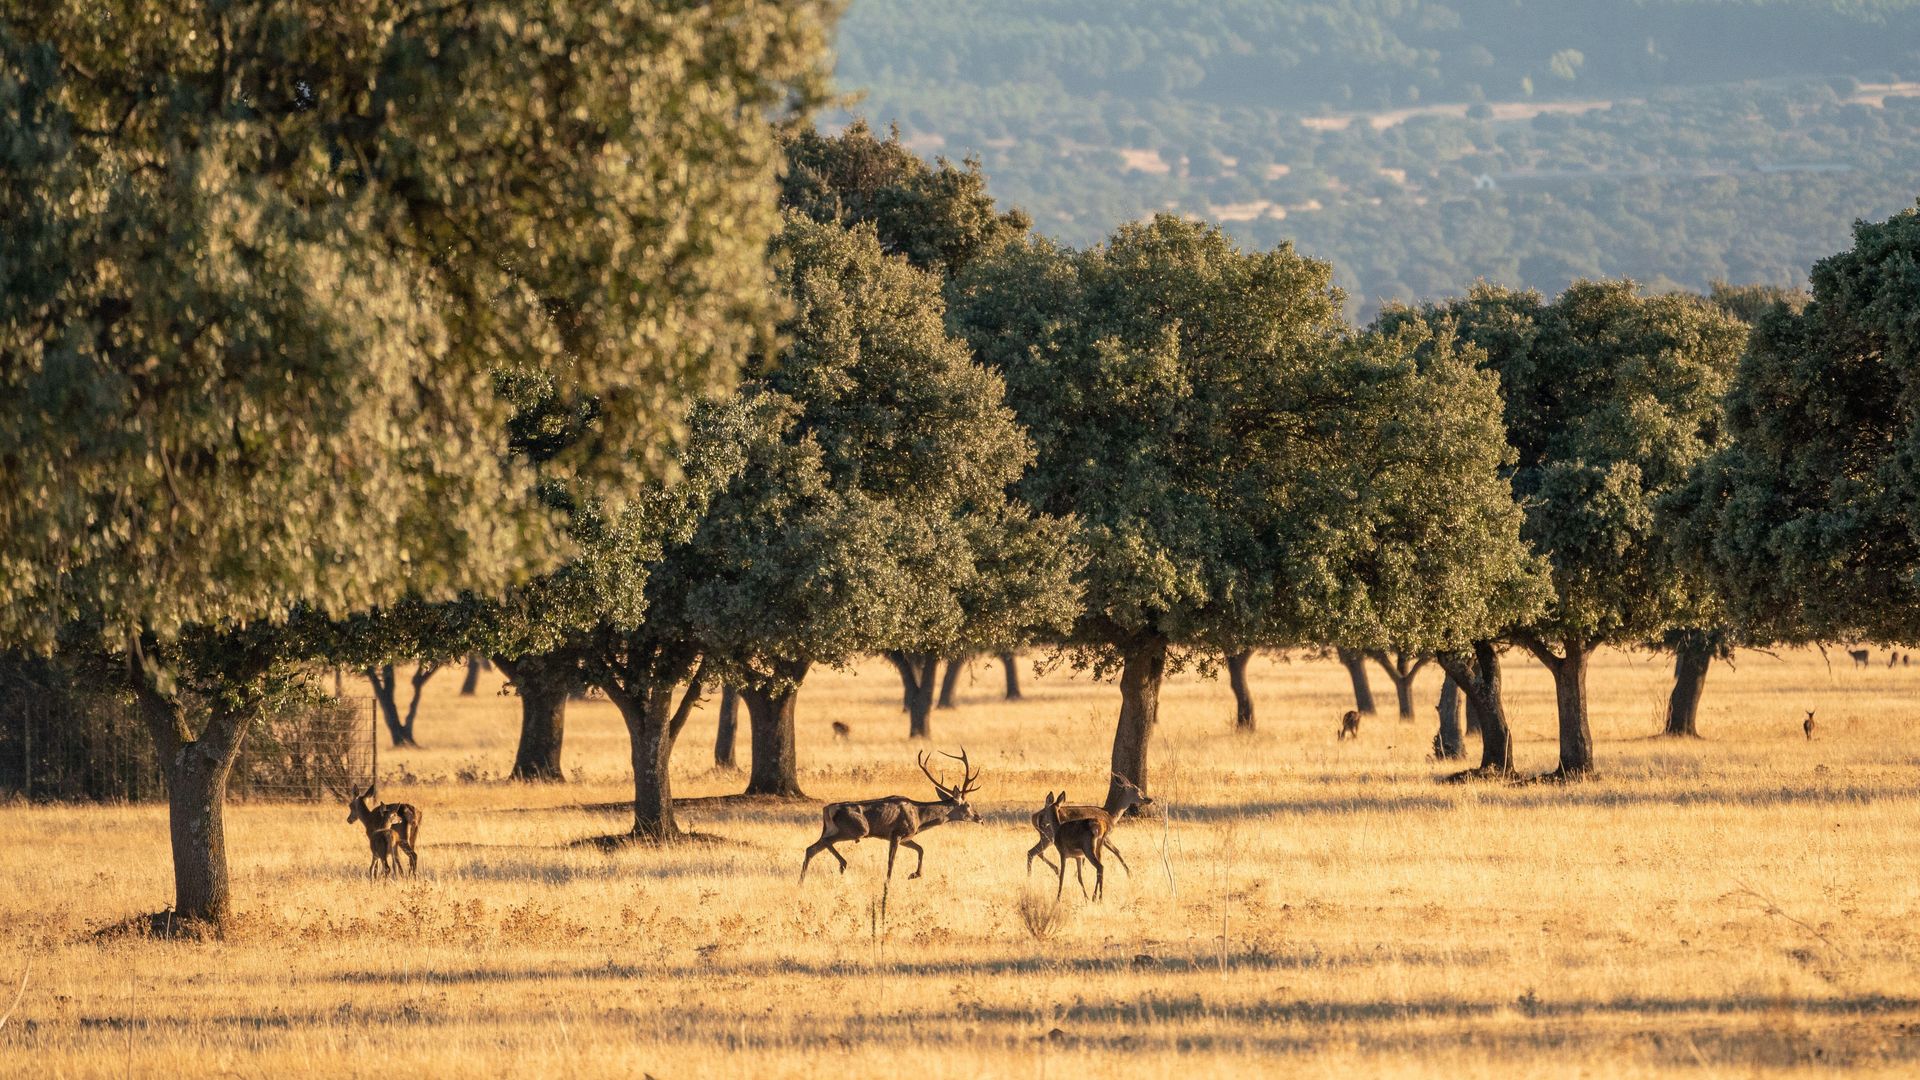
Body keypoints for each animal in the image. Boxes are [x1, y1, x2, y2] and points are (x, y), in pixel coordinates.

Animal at [794, 745, 983, 880]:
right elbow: (891, 862)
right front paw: (890, 882)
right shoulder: (897, 833)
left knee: (810, 848)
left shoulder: (907, 837)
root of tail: (828, 809)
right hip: (857, 829)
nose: (980, 818)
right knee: (824, 843)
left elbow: (921, 849)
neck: (919, 817)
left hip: (831, 829)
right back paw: (842, 864)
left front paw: (914, 874)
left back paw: (802, 881)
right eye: (968, 805)